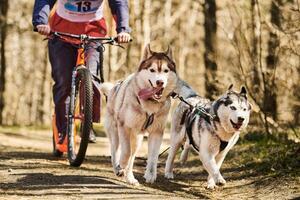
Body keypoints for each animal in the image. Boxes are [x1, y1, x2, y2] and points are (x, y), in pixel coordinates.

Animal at [100, 44, 178, 185]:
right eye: (152, 70)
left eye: (166, 70)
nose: (160, 82)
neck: (150, 104)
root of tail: (113, 88)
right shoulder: (124, 126)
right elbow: (125, 152)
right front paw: (121, 165)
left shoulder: (157, 132)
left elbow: (153, 157)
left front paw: (150, 175)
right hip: (115, 133)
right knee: (116, 151)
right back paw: (118, 168)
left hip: (137, 139)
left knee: (132, 156)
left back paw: (130, 178)